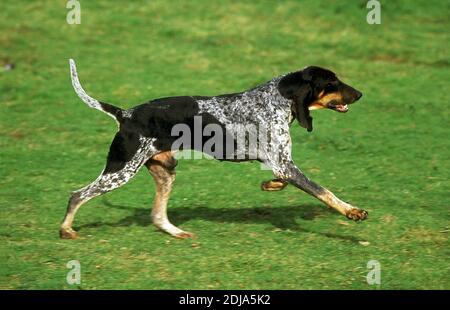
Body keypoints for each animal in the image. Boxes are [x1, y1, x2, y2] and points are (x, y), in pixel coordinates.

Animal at [60, 60, 370, 240]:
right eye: (331, 83)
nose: (360, 94)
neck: (278, 98)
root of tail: (126, 114)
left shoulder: (282, 165)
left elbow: (281, 180)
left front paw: (269, 185)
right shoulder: (285, 164)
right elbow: (324, 192)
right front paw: (352, 211)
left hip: (165, 172)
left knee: (157, 216)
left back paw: (177, 232)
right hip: (120, 171)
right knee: (78, 195)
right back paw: (66, 230)